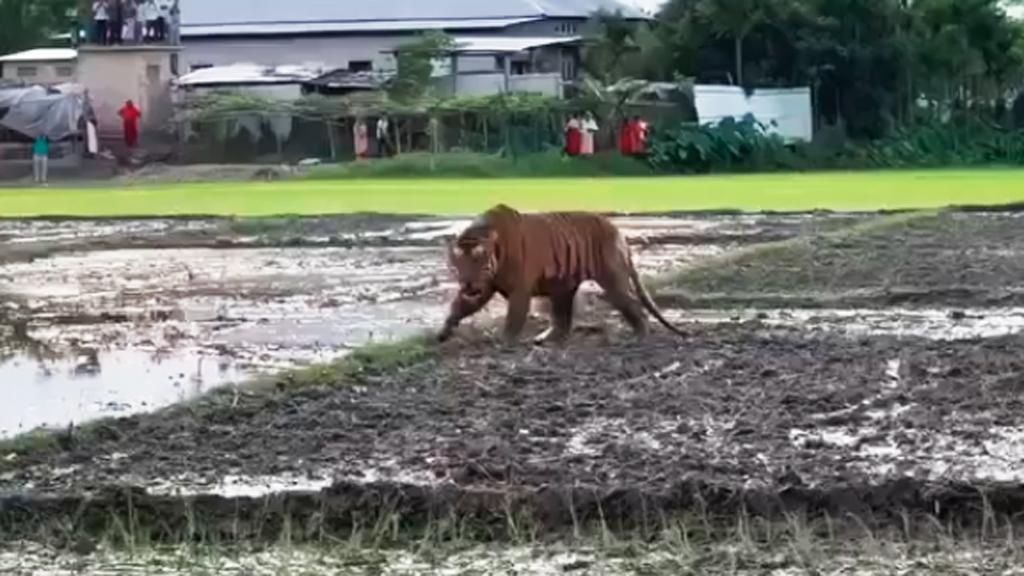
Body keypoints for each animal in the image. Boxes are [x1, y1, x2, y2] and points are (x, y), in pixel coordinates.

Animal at [438, 203, 688, 342]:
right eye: (459, 265)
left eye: (480, 263)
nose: (468, 284)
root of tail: (618, 232)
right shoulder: (484, 287)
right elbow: (459, 307)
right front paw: (443, 333)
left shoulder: (518, 290)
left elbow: (513, 317)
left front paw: (504, 340)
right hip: (563, 287)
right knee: (562, 319)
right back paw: (547, 339)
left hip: (613, 280)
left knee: (633, 305)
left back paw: (640, 336)